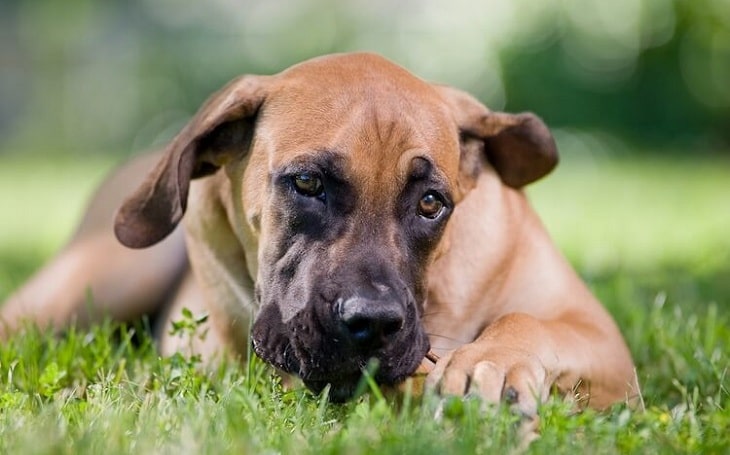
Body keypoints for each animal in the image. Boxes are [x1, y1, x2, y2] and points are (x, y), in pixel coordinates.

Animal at [0, 52, 636, 414]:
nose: (373, 324)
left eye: (432, 203)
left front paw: (493, 363)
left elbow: (527, 320)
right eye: (307, 183)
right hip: (102, 276)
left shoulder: (602, 338)